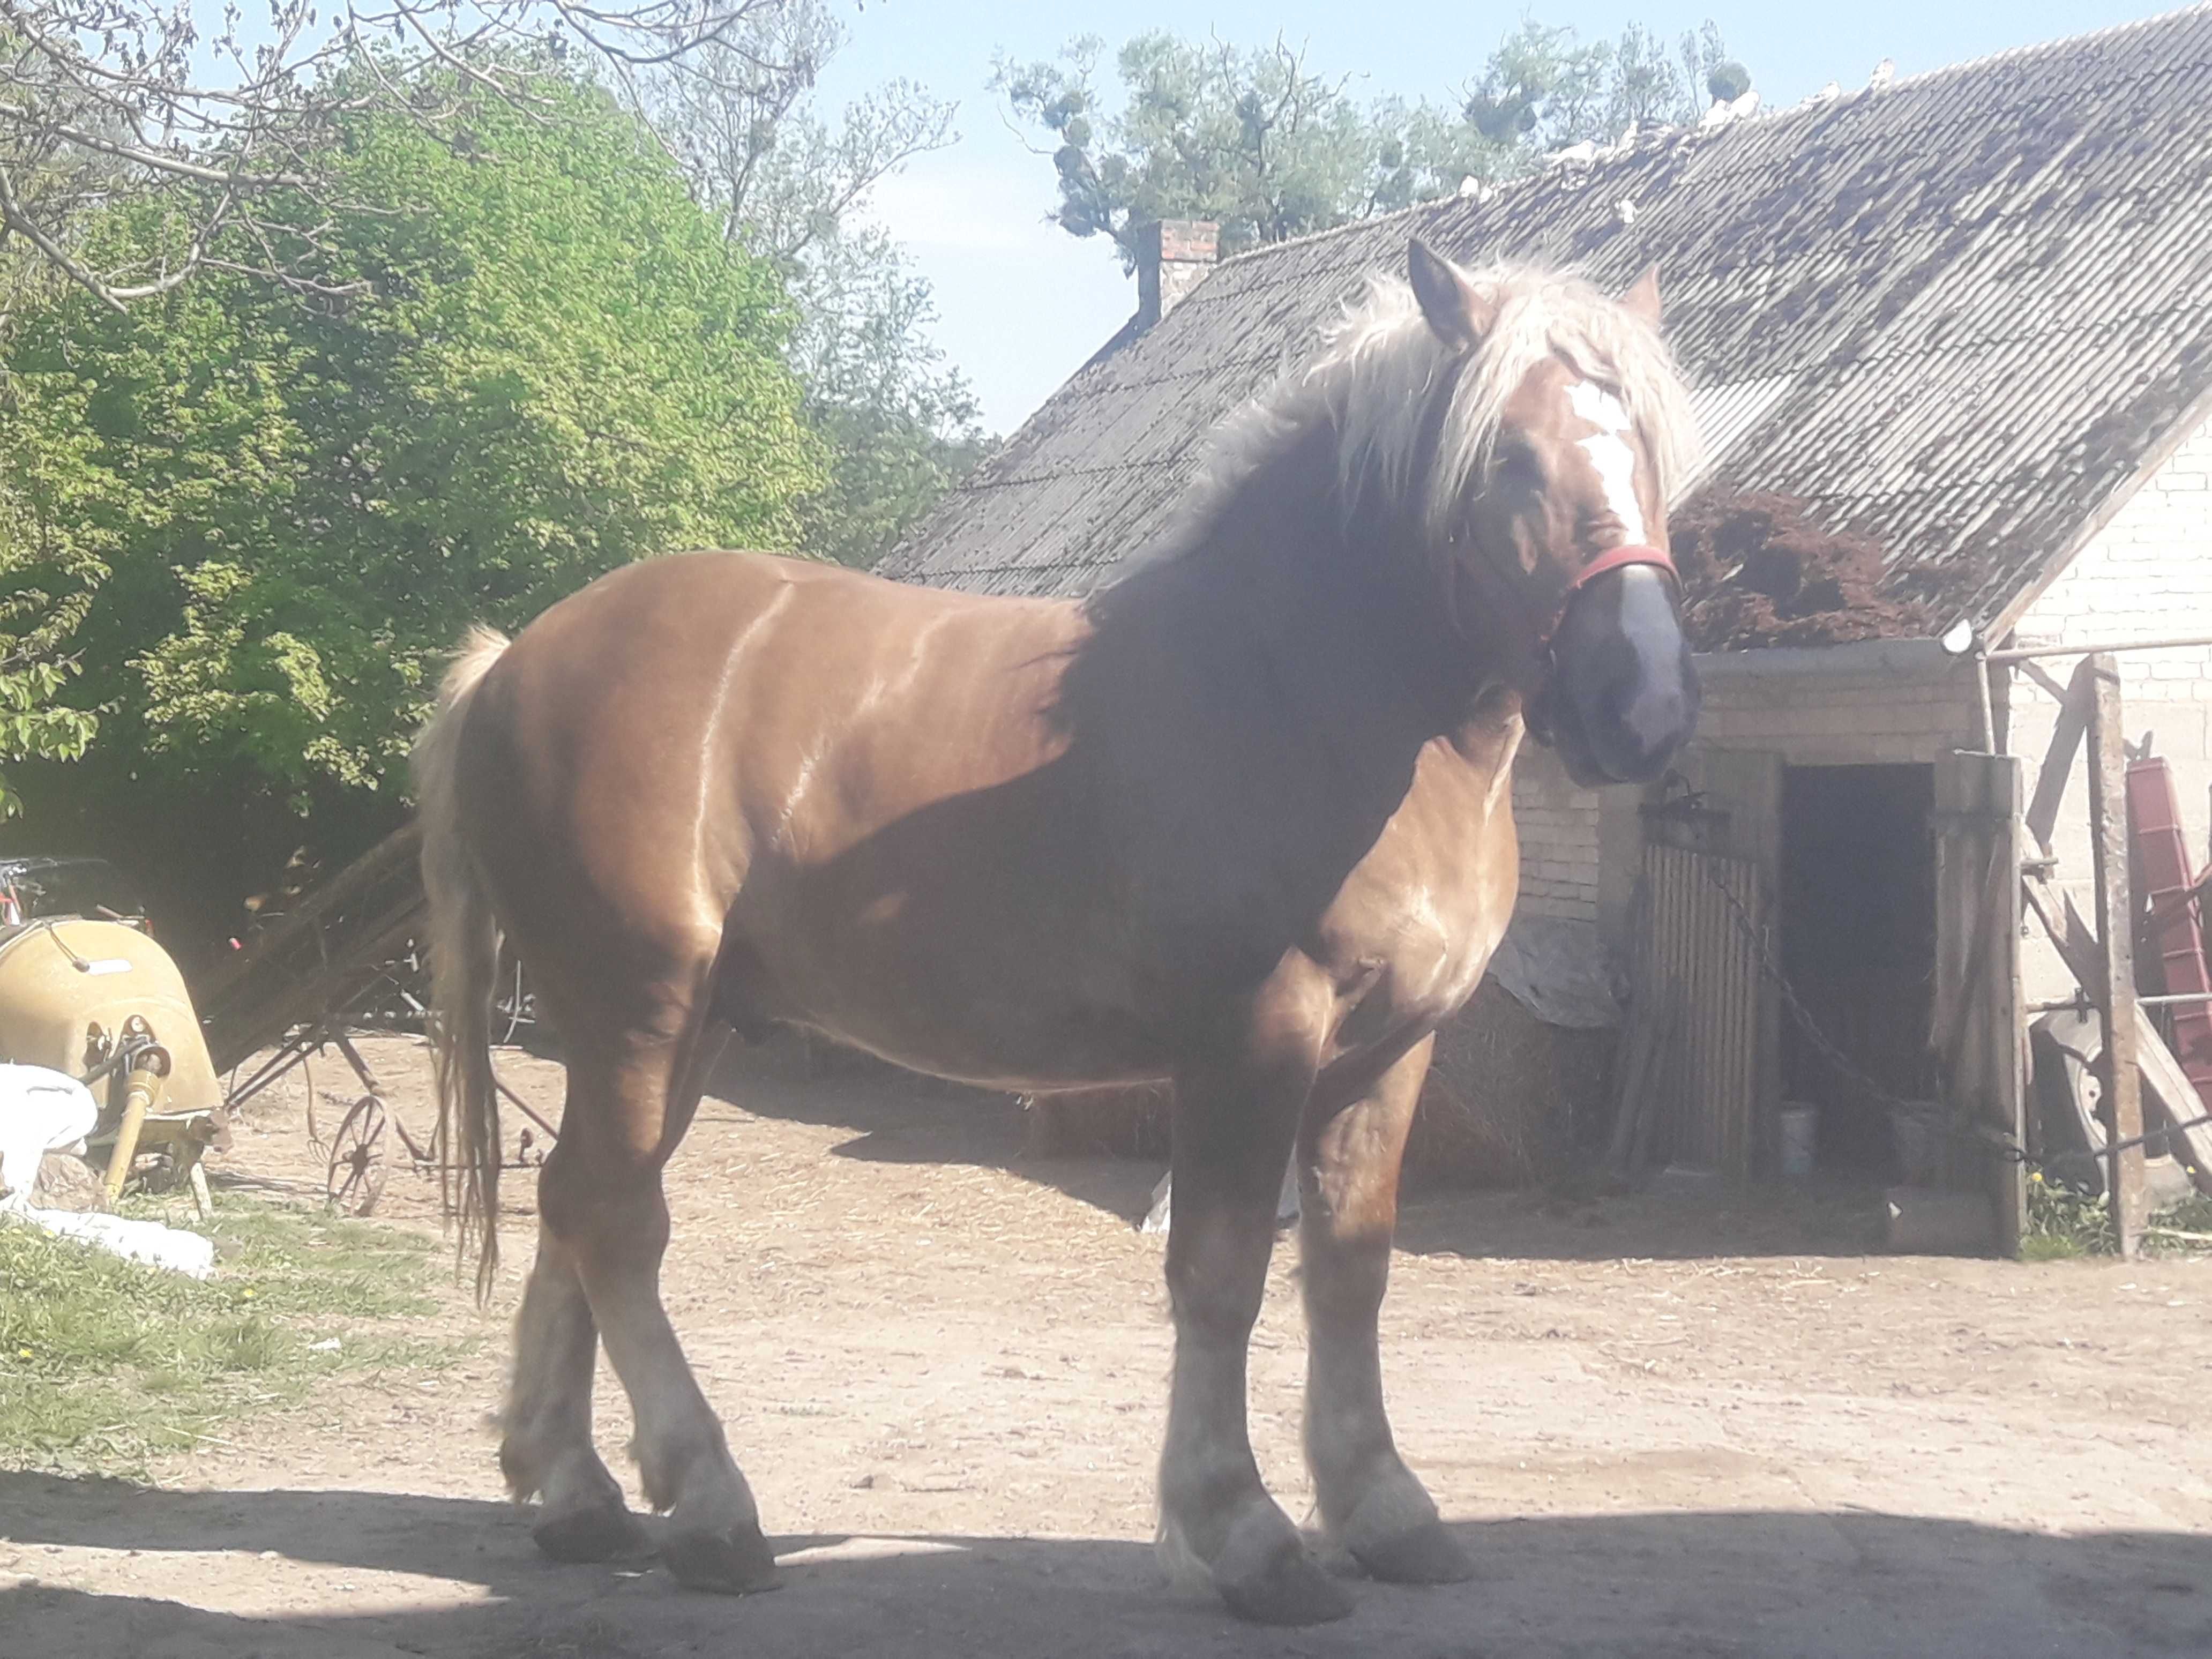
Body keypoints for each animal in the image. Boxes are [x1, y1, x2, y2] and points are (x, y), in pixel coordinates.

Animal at [411, 240, 1690, 1628]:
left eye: (1646, 448)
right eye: (1508, 457)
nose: (1641, 701)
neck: (1298, 693)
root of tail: (516, 658)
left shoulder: (1388, 1052)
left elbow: (1350, 1268)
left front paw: (1385, 1509)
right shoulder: (1253, 1043)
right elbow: (1221, 1273)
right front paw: (1244, 1534)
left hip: (677, 1023)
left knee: (574, 1205)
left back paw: (573, 1493)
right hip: (635, 1005)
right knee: (617, 1222)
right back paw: (707, 1511)